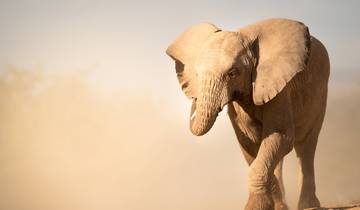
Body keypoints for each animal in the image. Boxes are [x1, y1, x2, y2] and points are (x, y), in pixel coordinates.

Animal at [166, 18, 330, 210]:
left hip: (321, 94)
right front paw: (271, 205)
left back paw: (308, 205)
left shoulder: (279, 88)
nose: (194, 100)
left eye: (232, 73)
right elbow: (250, 143)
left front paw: (256, 206)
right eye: (197, 74)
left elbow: (282, 136)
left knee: (306, 146)